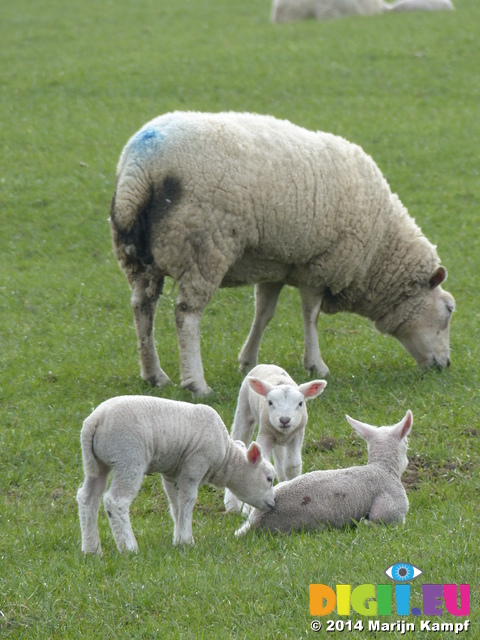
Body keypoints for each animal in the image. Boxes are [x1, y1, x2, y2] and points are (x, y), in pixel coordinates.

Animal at [77, 392, 276, 552]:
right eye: (269, 479)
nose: (273, 504)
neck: (226, 458)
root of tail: (95, 420)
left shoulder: (171, 473)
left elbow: (176, 505)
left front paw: (178, 539)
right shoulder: (195, 464)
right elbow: (188, 500)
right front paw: (187, 541)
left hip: (99, 463)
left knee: (87, 498)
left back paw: (91, 549)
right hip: (128, 458)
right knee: (116, 501)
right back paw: (129, 548)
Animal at [108, 112, 454, 398]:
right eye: (449, 310)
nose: (446, 365)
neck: (380, 249)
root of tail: (140, 168)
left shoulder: (274, 263)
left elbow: (264, 312)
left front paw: (248, 361)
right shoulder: (322, 263)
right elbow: (310, 315)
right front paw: (316, 364)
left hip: (140, 258)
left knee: (143, 307)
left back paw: (154, 374)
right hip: (203, 246)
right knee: (186, 315)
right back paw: (196, 383)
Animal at [224, 364, 326, 516]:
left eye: (300, 403)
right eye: (270, 402)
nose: (284, 420)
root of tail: (266, 364)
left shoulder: (297, 434)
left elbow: (292, 465)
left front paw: (291, 486)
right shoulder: (265, 434)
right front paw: (248, 509)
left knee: (280, 457)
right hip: (244, 408)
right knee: (238, 435)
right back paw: (231, 506)